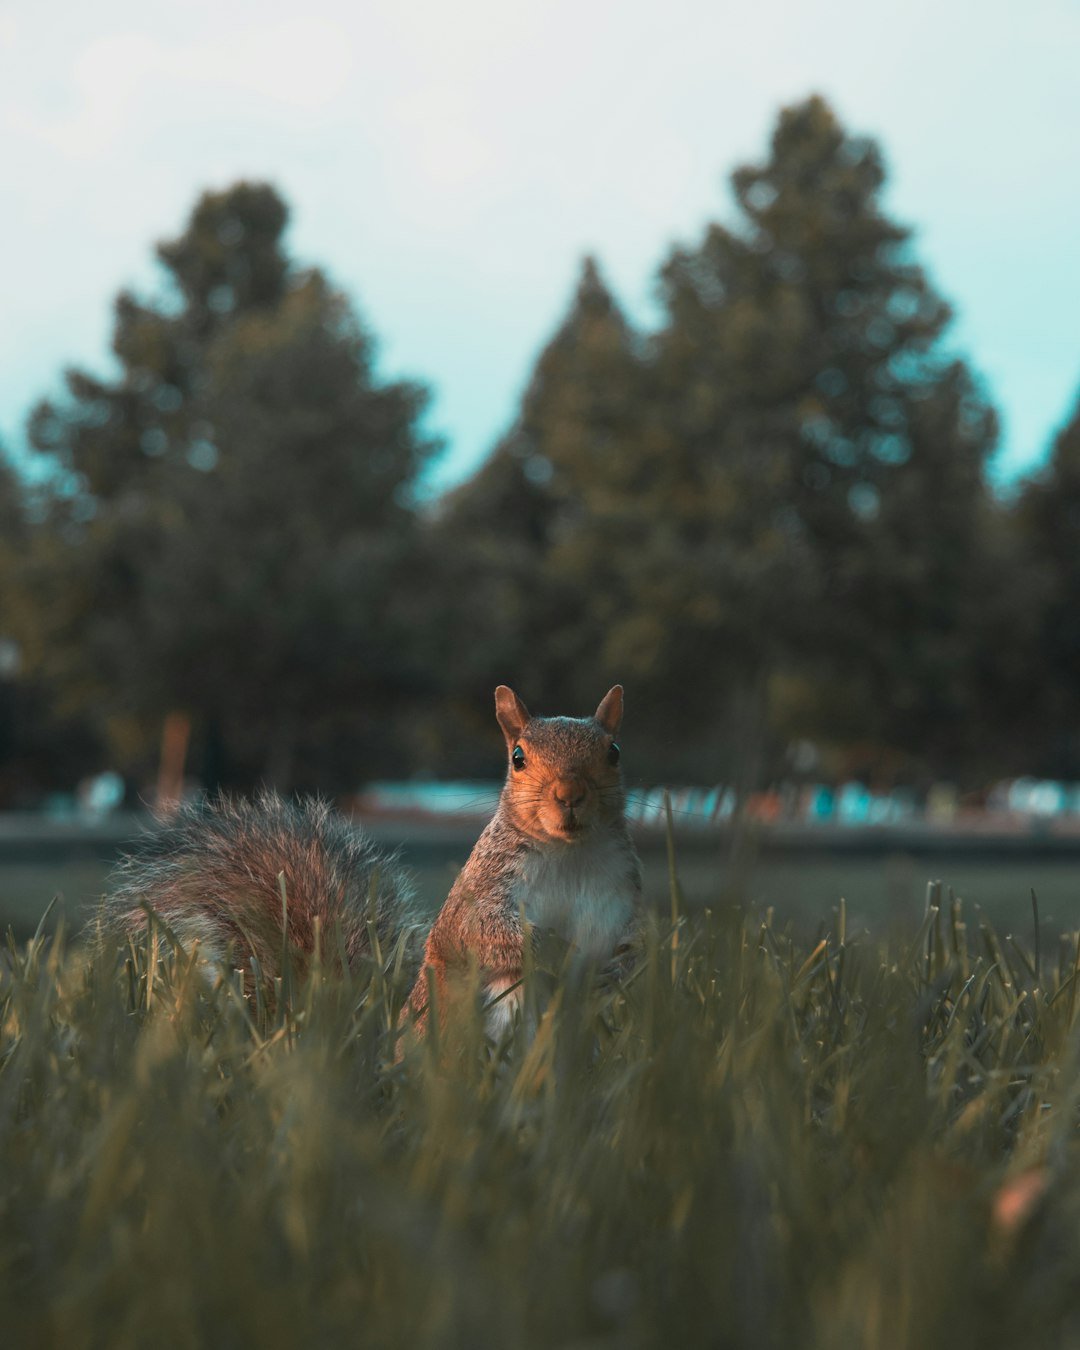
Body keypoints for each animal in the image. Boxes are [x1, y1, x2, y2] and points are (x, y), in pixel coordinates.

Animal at [104, 685, 643, 1038]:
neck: (569, 853)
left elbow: (621, 944)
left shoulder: (617, 896)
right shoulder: (484, 888)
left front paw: (615, 970)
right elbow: (480, 932)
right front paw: (552, 947)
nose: (569, 794)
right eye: (517, 757)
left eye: (615, 752)